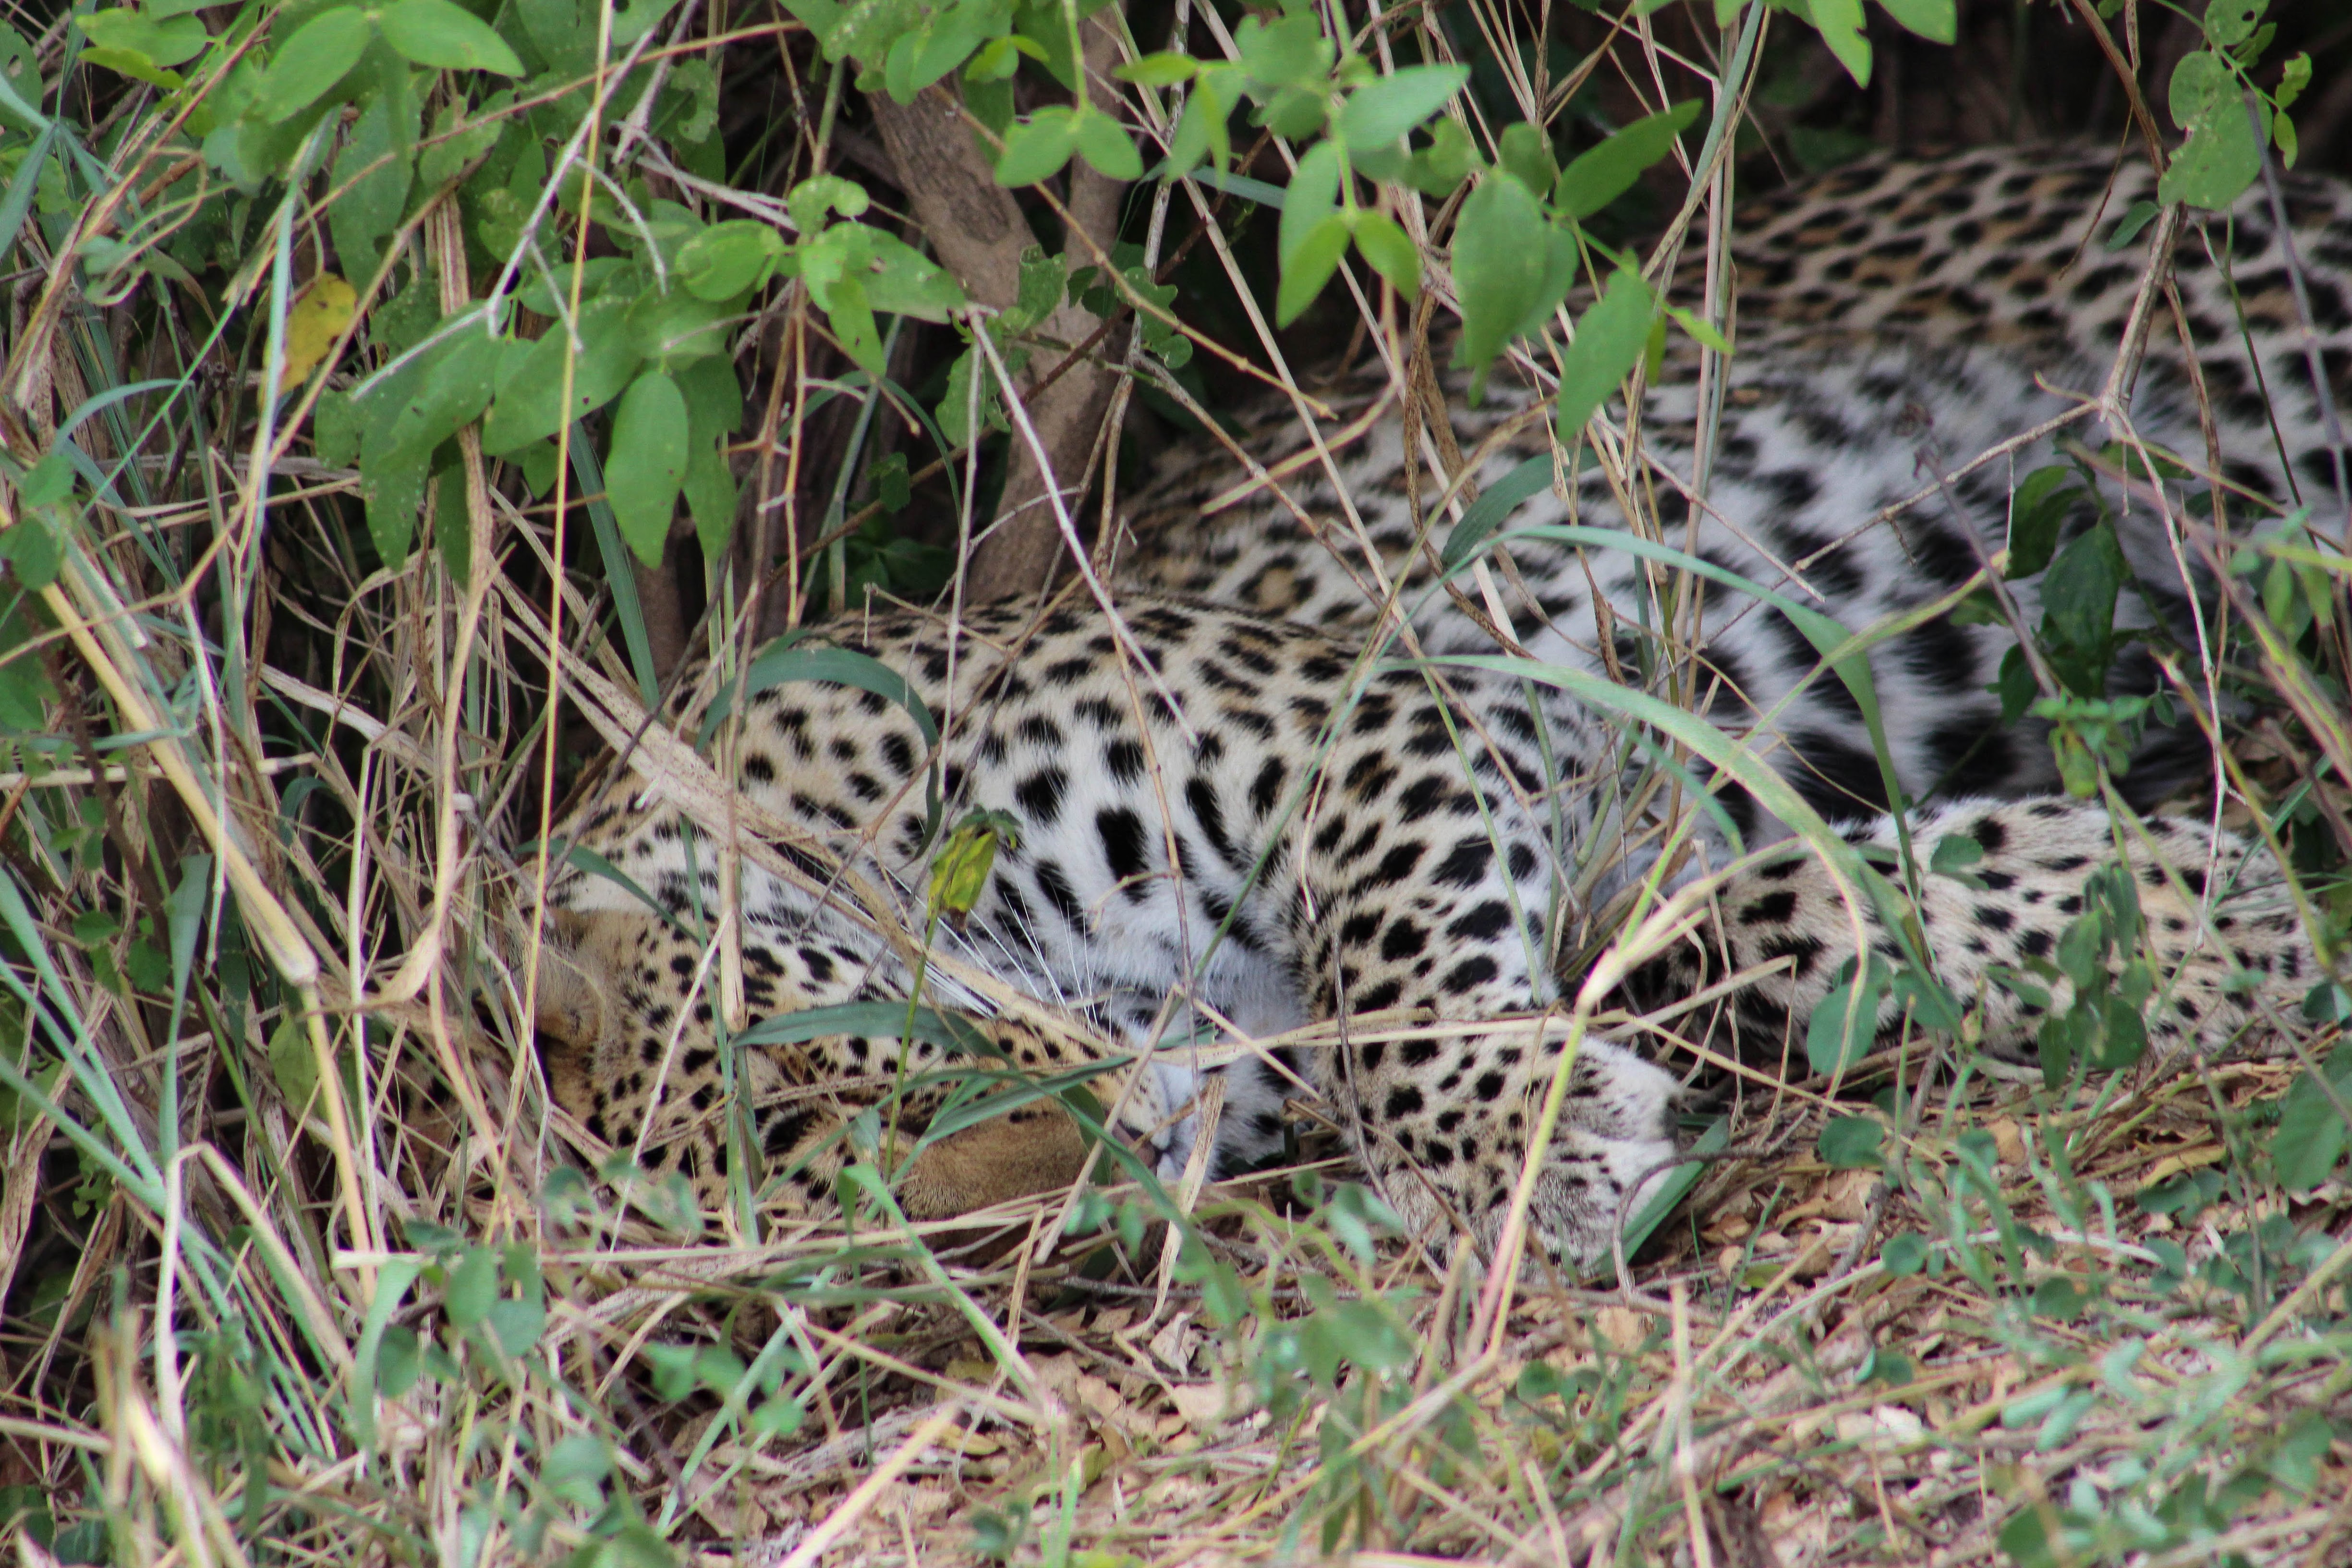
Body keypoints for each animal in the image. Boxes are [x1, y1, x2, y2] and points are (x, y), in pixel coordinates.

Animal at [524, 144, 2342, 1278]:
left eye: (851, 1089)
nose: (1117, 1171)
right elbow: (1742, 917)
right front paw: (2171, 917)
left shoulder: (1381, 713)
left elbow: (1396, 971)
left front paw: (1528, 1156)